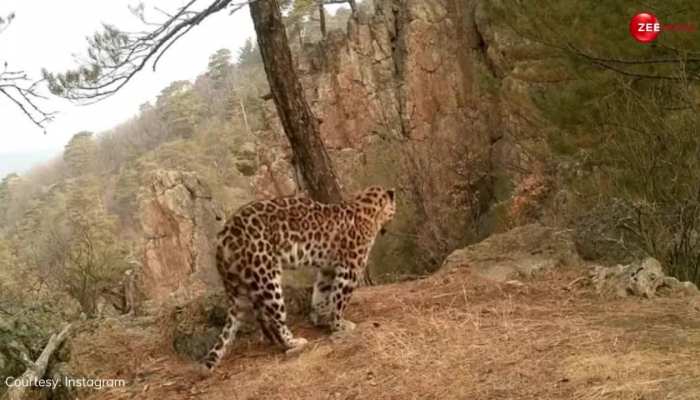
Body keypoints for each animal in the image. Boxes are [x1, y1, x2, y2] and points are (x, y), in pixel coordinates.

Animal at [201, 186, 394, 370]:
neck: (367, 207)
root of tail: (223, 237)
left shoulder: (328, 269)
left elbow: (322, 294)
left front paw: (320, 317)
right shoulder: (350, 270)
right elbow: (339, 300)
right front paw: (339, 325)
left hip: (242, 283)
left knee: (258, 318)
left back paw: (275, 342)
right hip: (266, 277)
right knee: (275, 319)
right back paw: (293, 342)